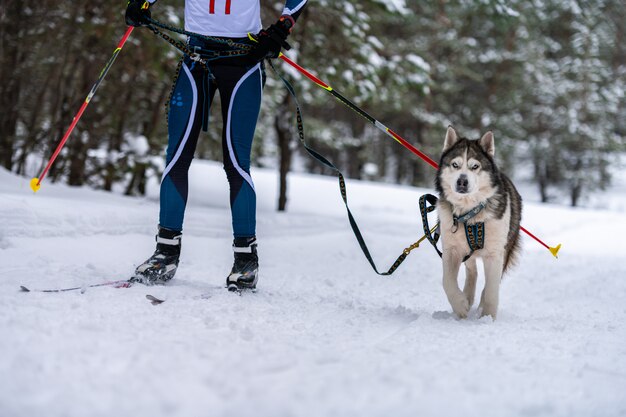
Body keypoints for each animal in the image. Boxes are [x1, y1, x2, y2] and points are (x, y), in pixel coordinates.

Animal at [434, 127, 520, 318]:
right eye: (455, 165)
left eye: (475, 166)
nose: (462, 181)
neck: (470, 214)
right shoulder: (451, 250)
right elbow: (446, 282)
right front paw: (460, 306)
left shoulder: (496, 253)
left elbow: (491, 289)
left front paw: (487, 316)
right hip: (467, 251)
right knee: (472, 269)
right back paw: (467, 295)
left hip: (506, 246)